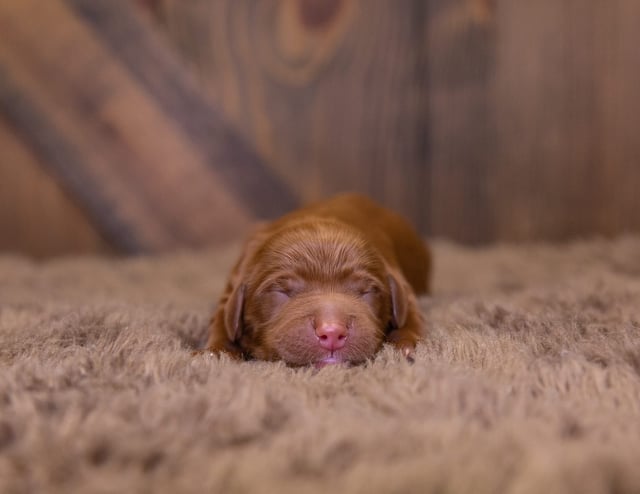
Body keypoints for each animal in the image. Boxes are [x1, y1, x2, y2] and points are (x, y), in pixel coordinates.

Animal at [208, 193, 432, 366]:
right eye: (281, 291)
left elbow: (411, 314)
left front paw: (406, 345)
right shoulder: (234, 281)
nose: (332, 333)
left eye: (367, 291)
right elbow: (222, 320)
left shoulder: (402, 283)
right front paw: (218, 353)